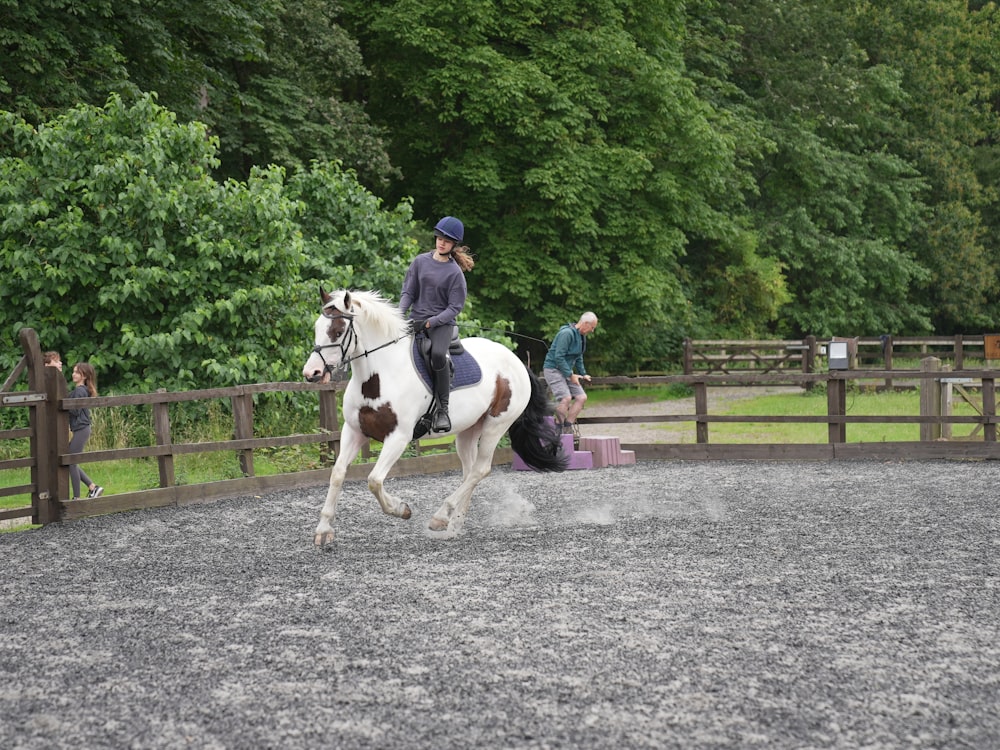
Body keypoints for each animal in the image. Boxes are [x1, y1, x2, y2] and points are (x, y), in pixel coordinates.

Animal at [300, 290, 568, 548]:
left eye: (338, 331)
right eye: (317, 328)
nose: (311, 373)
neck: (379, 377)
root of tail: (516, 361)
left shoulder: (398, 437)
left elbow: (374, 480)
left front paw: (402, 509)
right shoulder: (353, 431)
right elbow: (337, 473)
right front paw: (323, 531)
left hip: (496, 426)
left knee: (480, 469)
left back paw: (441, 516)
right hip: (469, 430)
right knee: (470, 472)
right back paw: (455, 522)